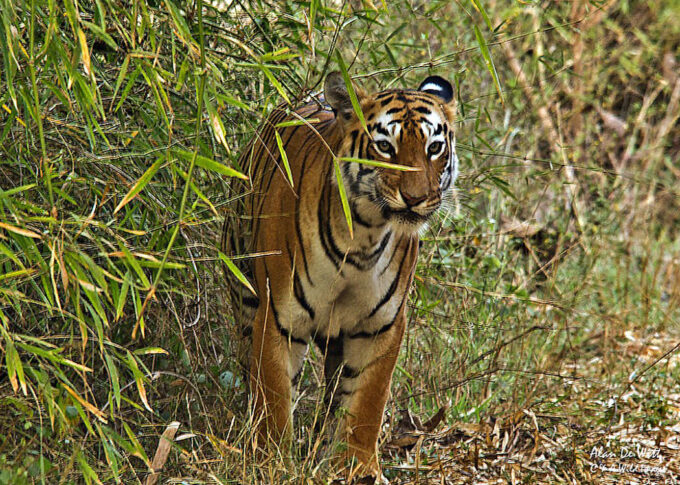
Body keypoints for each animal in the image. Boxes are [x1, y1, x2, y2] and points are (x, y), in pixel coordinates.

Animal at [222, 71, 458, 483]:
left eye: (434, 148)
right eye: (385, 146)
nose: (415, 198)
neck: (364, 234)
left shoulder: (382, 325)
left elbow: (366, 403)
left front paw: (359, 468)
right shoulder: (279, 316)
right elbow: (274, 395)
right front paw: (271, 462)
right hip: (245, 289)